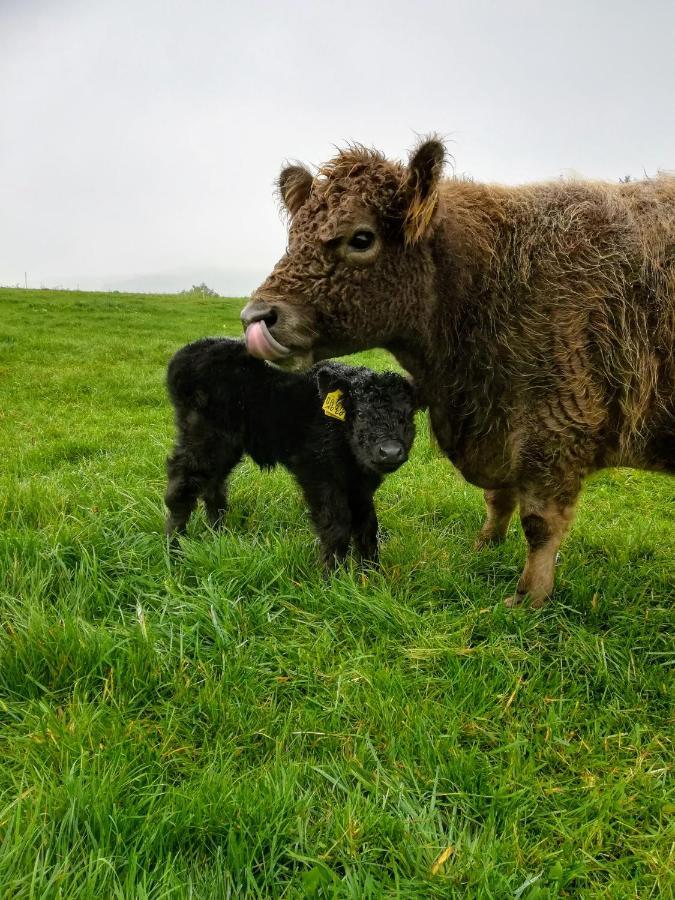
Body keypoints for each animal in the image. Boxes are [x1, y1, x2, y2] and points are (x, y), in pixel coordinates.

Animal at [164, 342, 418, 568]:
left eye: (408, 415)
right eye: (361, 413)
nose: (390, 452)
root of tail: (190, 351)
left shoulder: (360, 484)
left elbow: (367, 526)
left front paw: (371, 575)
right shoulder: (318, 474)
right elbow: (336, 526)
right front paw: (334, 578)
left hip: (224, 446)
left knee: (213, 484)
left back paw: (217, 535)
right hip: (203, 436)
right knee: (182, 485)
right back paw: (174, 551)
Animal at [243, 139, 675, 604]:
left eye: (361, 238)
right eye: (293, 237)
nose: (256, 317)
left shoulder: (557, 431)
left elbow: (540, 525)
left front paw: (528, 598)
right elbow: (498, 500)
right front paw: (485, 547)